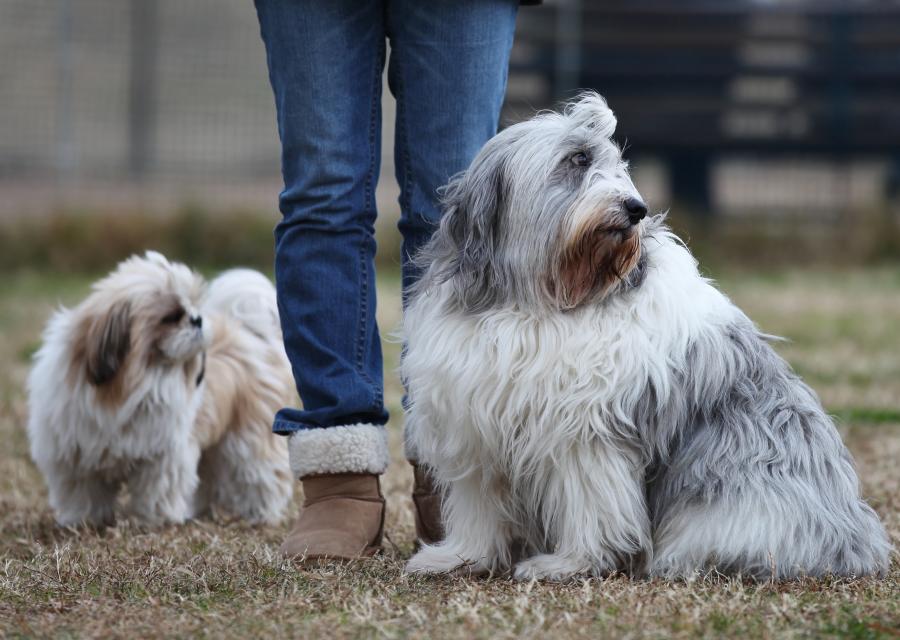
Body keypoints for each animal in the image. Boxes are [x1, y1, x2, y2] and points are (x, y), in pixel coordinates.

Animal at [27, 251, 295, 527]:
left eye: (194, 308)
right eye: (172, 317)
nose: (198, 319)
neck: (134, 384)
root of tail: (254, 334)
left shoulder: (161, 455)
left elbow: (156, 489)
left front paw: (155, 520)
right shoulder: (75, 456)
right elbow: (84, 492)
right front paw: (84, 520)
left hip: (247, 437)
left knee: (260, 473)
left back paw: (260, 512)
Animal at [402, 93, 891, 580]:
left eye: (619, 166)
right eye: (578, 160)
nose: (635, 207)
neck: (540, 301)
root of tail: (858, 541)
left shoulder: (585, 433)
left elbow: (591, 505)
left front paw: (570, 563)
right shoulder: (475, 424)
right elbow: (479, 508)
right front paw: (458, 557)